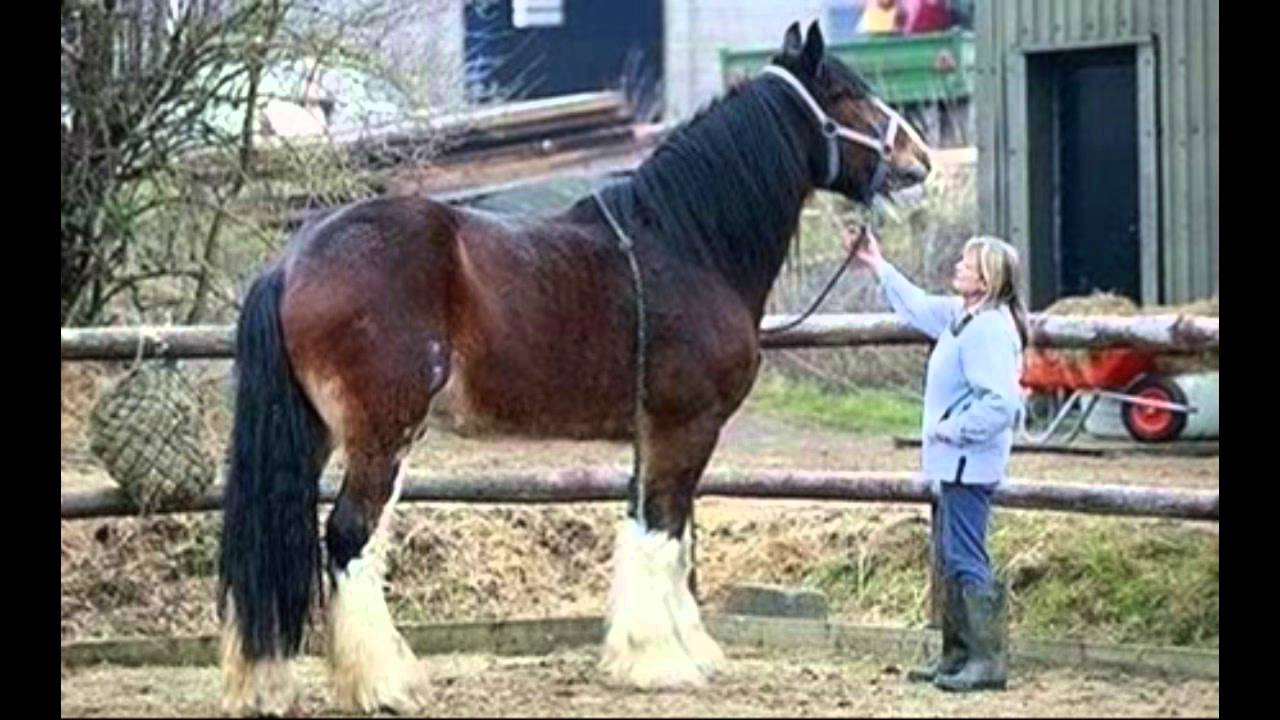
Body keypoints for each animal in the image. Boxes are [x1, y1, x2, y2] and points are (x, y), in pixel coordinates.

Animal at [217, 20, 932, 715]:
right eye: (844, 94)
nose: (920, 160)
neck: (687, 246)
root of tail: (292, 262)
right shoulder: (684, 428)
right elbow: (663, 532)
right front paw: (660, 661)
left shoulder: (654, 434)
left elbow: (661, 532)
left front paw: (667, 650)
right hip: (382, 434)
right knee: (348, 537)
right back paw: (384, 685)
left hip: (314, 432)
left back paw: (266, 684)